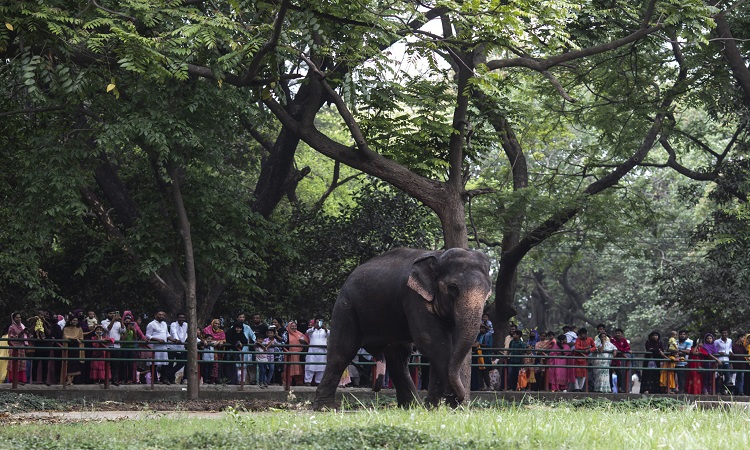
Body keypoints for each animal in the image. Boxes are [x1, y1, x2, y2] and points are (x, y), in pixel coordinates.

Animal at [312, 248, 494, 410]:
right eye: (453, 288)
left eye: (488, 293)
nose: (460, 399)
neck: (438, 255)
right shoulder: (413, 296)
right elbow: (432, 342)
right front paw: (450, 405)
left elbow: (446, 345)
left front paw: (434, 407)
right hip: (346, 307)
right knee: (342, 351)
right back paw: (325, 408)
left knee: (397, 357)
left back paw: (410, 406)